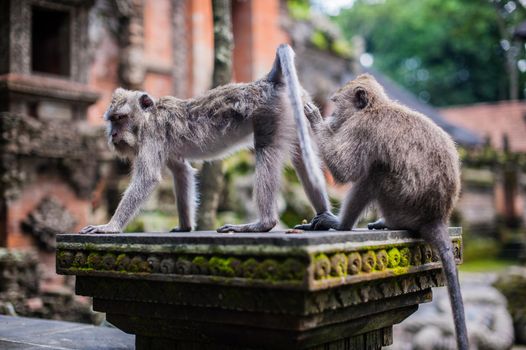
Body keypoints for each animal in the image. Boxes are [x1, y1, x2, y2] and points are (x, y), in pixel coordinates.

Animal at [80, 44, 332, 235]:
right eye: (112, 120)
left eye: (121, 118)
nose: (113, 134)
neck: (149, 116)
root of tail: (268, 80)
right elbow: (181, 172)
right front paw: (185, 227)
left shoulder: (152, 135)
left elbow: (148, 178)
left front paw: (109, 227)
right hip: (295, 109)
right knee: (301, 157)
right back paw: (324, 217)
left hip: (270, 115)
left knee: (266, 150)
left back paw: (262, 224)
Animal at [300, 75, 472, 350]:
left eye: (335, 104)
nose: (332, 118)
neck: (374, 107)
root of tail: (437, 217)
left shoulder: (362, 129)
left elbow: (344, 171)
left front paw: (314, 119)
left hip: (401, 204)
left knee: (374, 173)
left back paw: (341, 225)